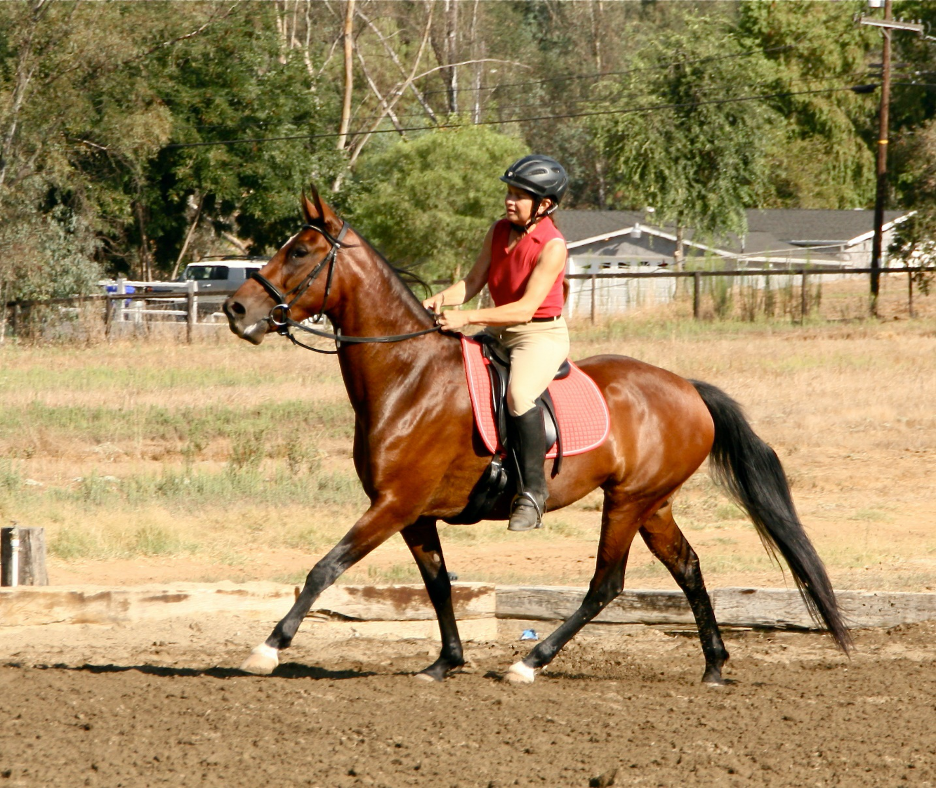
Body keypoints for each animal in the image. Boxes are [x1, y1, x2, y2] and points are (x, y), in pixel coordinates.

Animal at [222, 188, 850, 685]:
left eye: (299, 251)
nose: (235, 309)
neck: (407, 374)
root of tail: (689, 390)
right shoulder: (413, 513)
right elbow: (438, 583)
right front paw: (445, 662)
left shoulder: (394, 504)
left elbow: (324, 568)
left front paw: (267, 649)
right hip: (653, 504)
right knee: (689, 568)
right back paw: (714, 666)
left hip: (627, 502)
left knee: (606, 584)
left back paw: (530, 662)